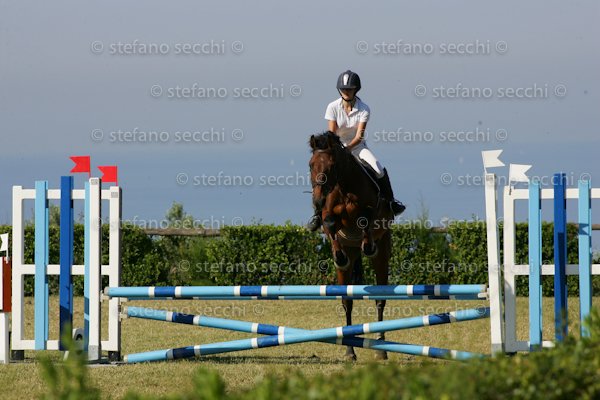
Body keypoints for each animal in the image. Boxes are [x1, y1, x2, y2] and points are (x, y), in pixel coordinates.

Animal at [309, 131, 394, 361]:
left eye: (331, 166)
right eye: (311, 165)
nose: (317, 201)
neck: (344, 186)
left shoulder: (371, 210)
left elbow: (364, 220)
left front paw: (368, 245)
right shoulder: (328, 215)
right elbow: (329, 222)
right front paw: (339, 256)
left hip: (382, 254)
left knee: (380, 300)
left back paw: (381, 348)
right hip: (348, 261)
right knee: (347, 302)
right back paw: (349, 350)